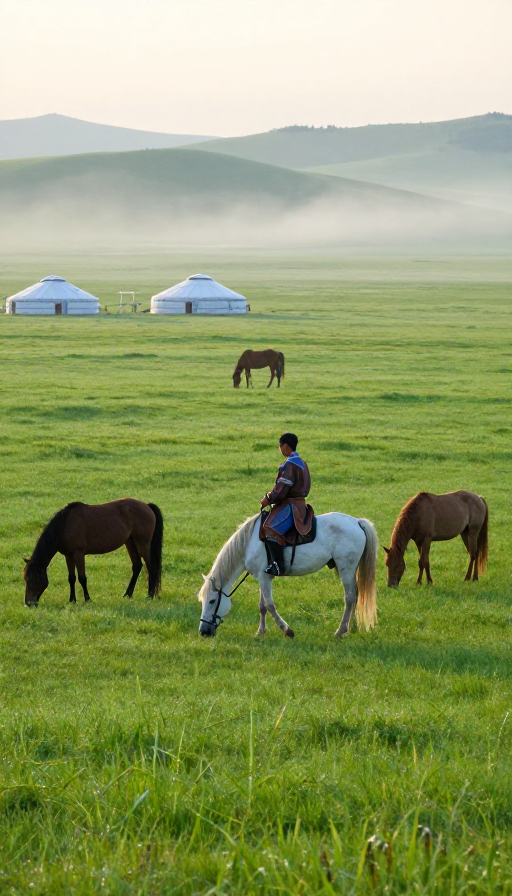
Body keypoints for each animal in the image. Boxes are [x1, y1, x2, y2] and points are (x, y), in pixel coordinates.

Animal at [23, 499, 164, 607]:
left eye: (32, 579)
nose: (28, 603)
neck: (65, 525)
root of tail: (147, 506)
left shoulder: (79, 554)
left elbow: (82, 578)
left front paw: (87, 600)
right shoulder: (68, 556)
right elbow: (71, 578)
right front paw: (72, 600)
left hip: (143, 543)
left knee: (151, 567)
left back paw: (150, 595)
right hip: (130, 542)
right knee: (137, 566)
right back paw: (127, 594)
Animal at [198, 511, 378, 639]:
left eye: (212, 601)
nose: (203, 631)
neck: (249, 544)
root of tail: (357, 522)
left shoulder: (264, 578)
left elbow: (270, 605)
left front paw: (287, 630)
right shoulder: (262, 578)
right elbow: (262, 606)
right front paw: (260, 632)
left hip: (346, 569)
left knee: (350, 597)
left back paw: (340, 630)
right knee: (356, 595)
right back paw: (350, 627)